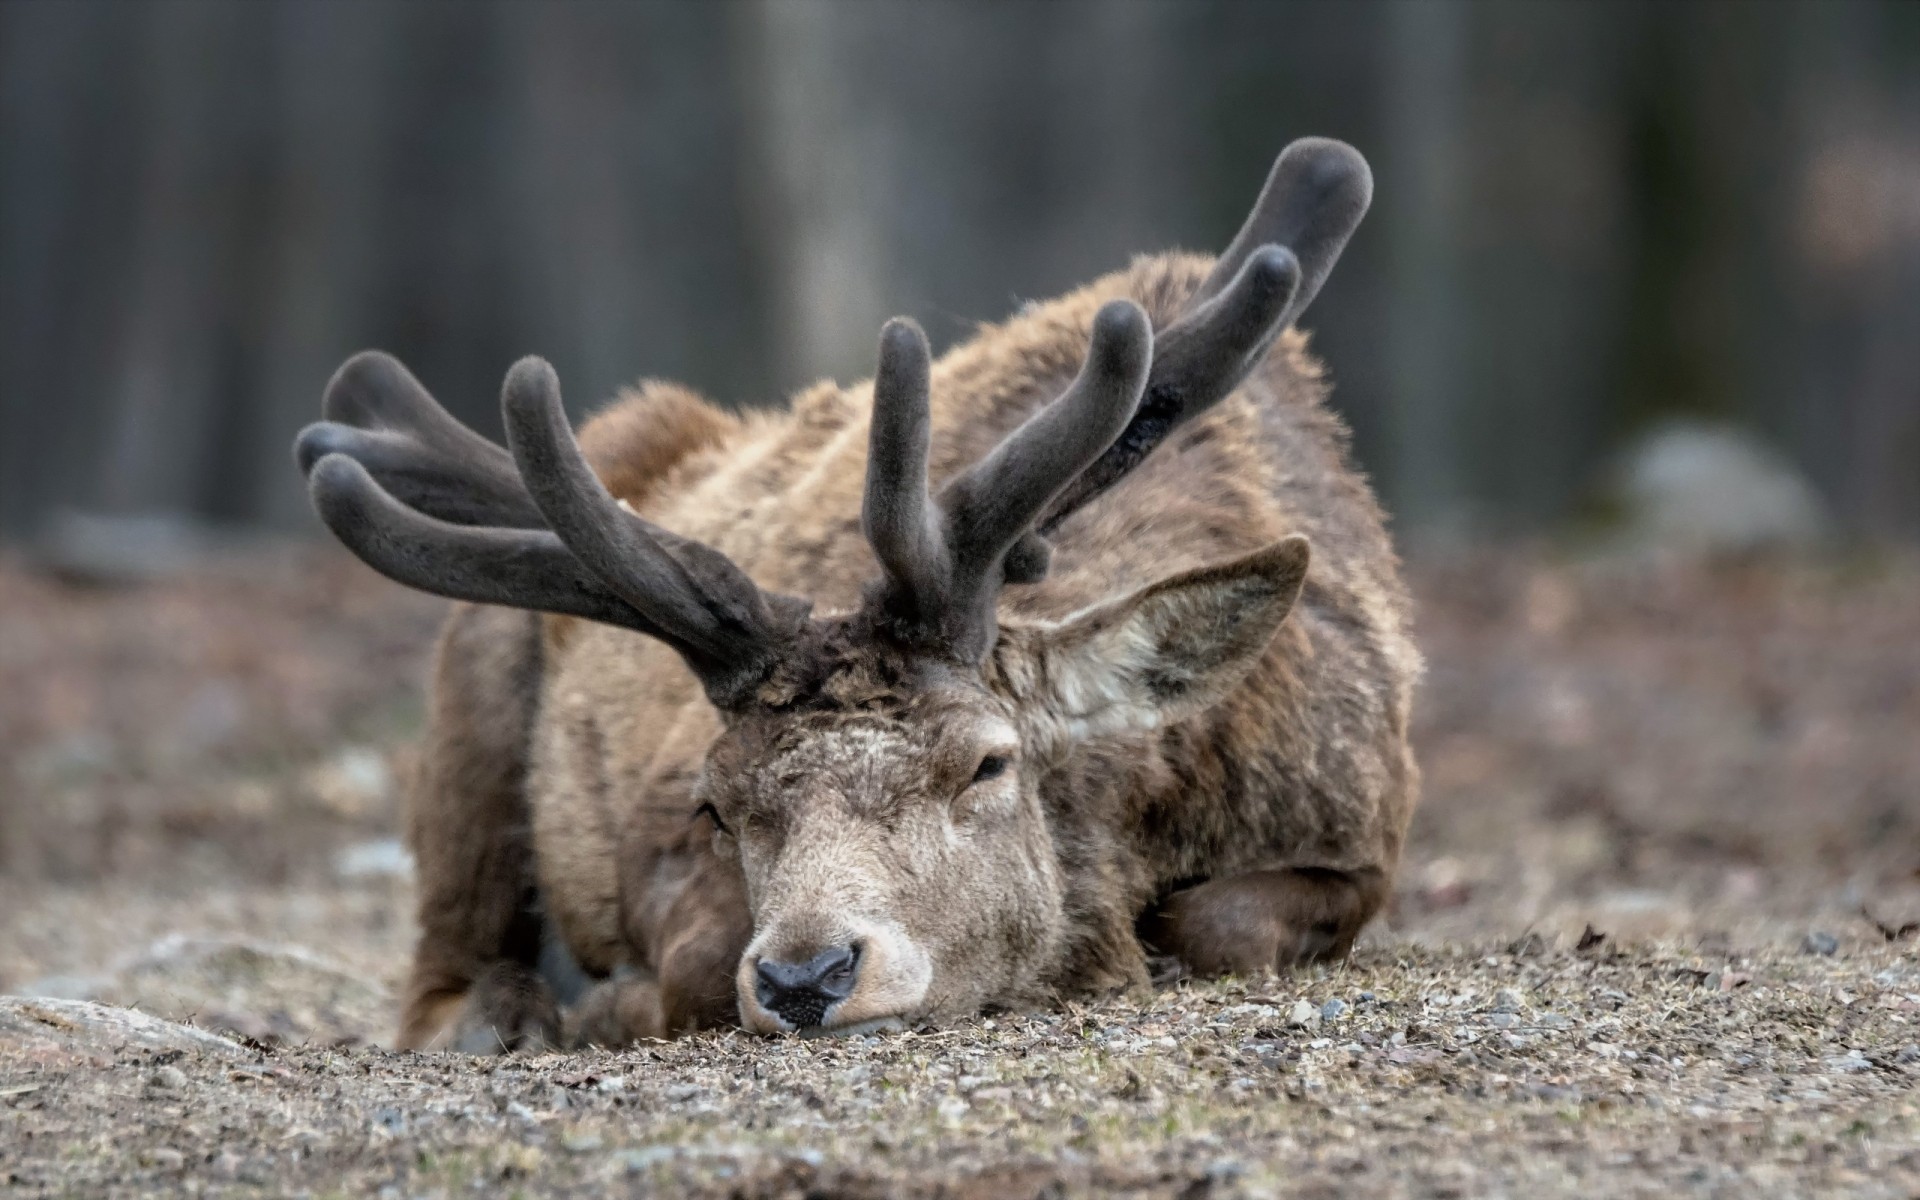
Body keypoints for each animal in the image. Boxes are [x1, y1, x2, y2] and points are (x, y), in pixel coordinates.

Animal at [291, 133, 1420, 1044]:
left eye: (988, 763)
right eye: (714, 803)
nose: (807, 974)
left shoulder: (1365, 830)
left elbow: (1219, 918)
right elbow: (691, 971)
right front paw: (613, 1001)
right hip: (471, 706)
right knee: (439, 975)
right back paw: (510, 1014)